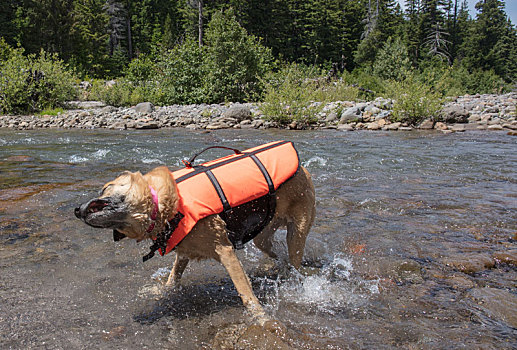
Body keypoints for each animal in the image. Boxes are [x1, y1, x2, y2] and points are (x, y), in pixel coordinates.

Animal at [73, 141, 314, 324]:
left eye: (105, 188)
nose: (76, 210)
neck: (164, 206)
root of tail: (303, 168)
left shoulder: (226, 251)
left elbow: (244, 291)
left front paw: (260, 317)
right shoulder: (184, 252)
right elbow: (172, 279)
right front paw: (160, 291)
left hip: (297, 231)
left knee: (294, 261)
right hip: (262, 237)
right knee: (276, 253)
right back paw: (274, 266)